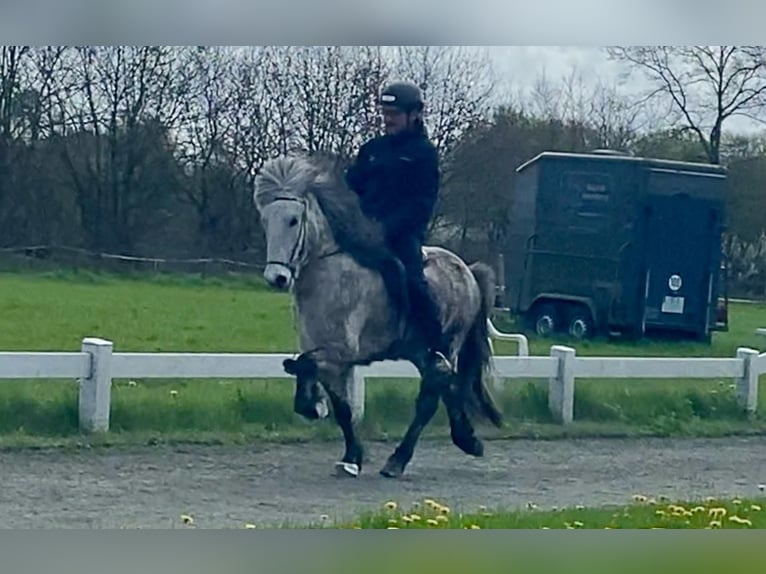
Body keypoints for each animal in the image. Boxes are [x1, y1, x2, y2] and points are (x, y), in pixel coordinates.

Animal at [252, 155, 504, 480]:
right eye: (265, 220)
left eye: (293, 220)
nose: (277, 278)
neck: (328, 273)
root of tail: (468, 270)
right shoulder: (327, 354)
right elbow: (340, 405)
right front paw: (350, 456)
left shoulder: (340, 351)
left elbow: (302, 365)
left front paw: (313, 406)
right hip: (421, 352)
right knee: (446, 387)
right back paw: (467, 439)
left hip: (447, 346)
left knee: (430, 399)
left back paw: (398, 461)